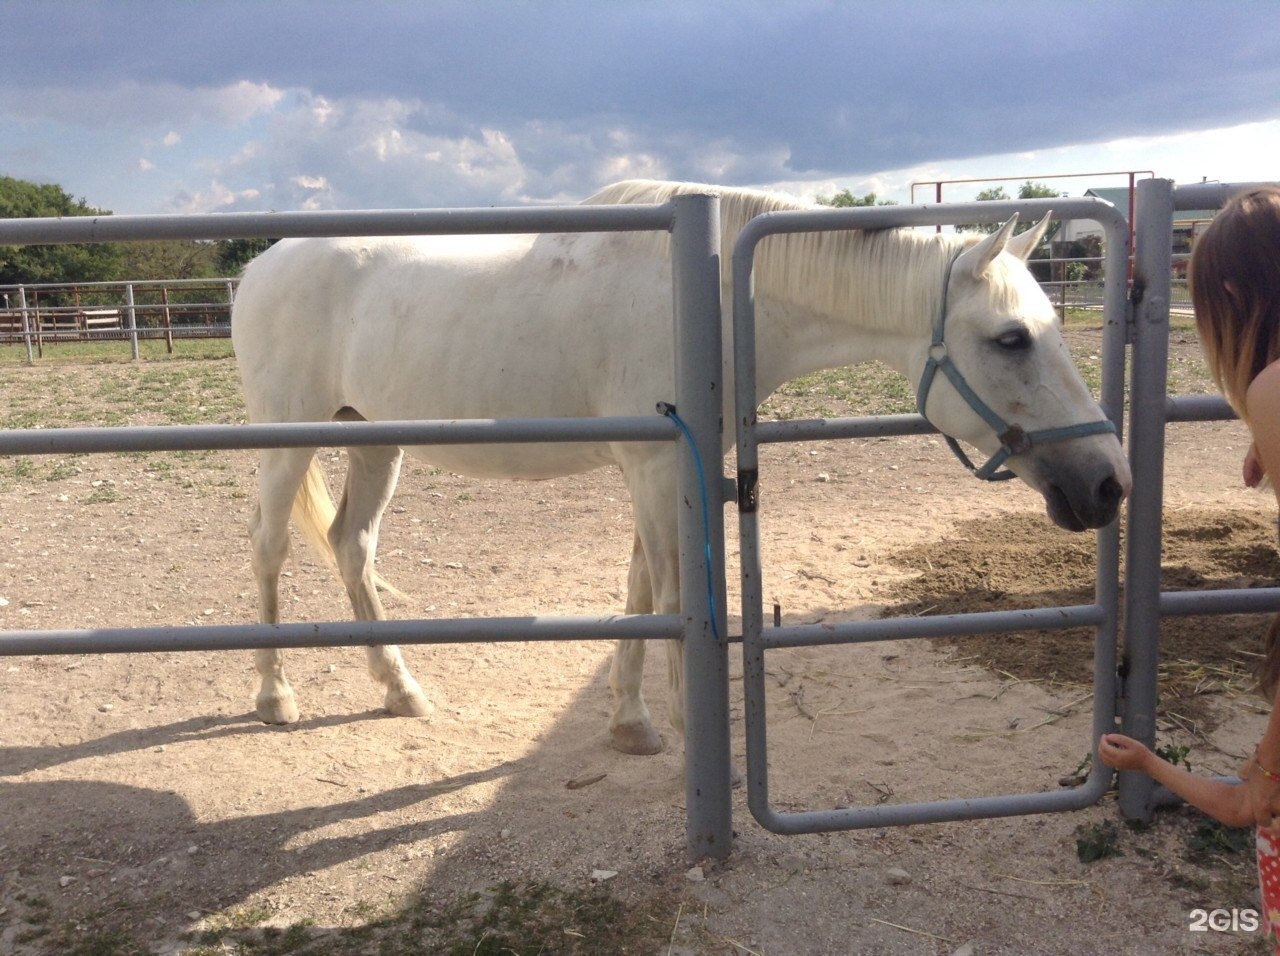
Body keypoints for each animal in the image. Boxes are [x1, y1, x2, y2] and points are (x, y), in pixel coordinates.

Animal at [232, 179, 1131, 757]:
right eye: (1011, 339)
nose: (1108, 482)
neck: (708, 294)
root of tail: (260, 266)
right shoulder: (658, 473)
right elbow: (670, 597)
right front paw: (688, 734)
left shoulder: (663, 469)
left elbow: (639, 593)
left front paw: (631, 723)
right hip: (288, 441)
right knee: (270, 548)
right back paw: (275, 697)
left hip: (373, 442)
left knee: (352, 549)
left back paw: (399, 688)